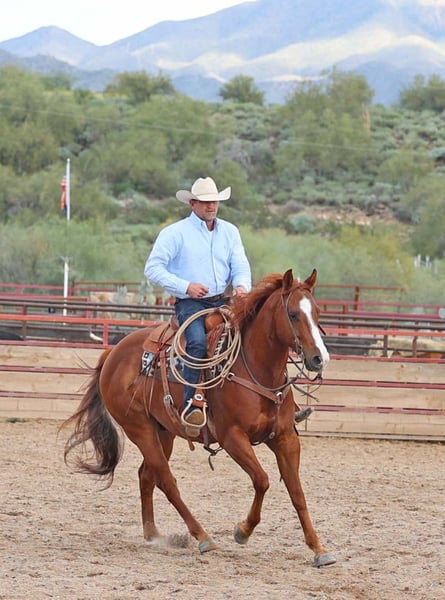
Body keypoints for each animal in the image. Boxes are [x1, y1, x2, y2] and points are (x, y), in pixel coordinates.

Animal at [62, 269, 336, 567]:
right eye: (294, 314)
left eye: (317, 312)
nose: (319, 358)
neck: (256, 370)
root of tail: (114, 353)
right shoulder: (232, 438)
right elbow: (262, 480)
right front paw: (242, 531)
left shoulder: (285, 438)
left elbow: (297, 493)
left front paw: (319, 549)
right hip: (139, 429)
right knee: (167, 481)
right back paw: (203, 536)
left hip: (163, 431)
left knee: (147, 475)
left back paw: (153, 534)